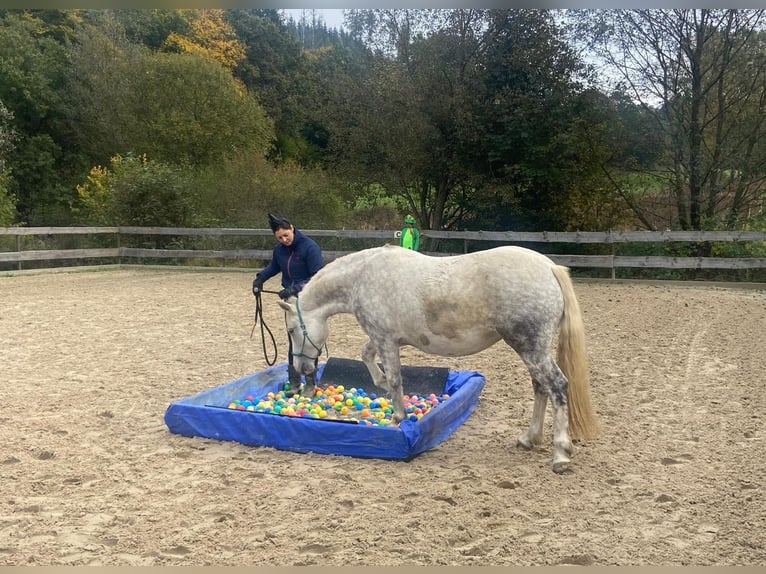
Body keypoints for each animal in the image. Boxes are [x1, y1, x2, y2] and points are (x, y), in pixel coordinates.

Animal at [280, 245, 604, 474]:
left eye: (292, 330)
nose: (302, 368)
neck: (363, 276)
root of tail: (549, 267)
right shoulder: (382, 338)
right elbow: (368, 358)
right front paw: (381, 383)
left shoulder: (385, 339)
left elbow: (395, 379)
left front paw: (398, 417)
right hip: (532, 349)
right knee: (540, 387)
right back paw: (529, 438)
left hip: (530, 347)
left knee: (557, 386)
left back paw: (560, 454)